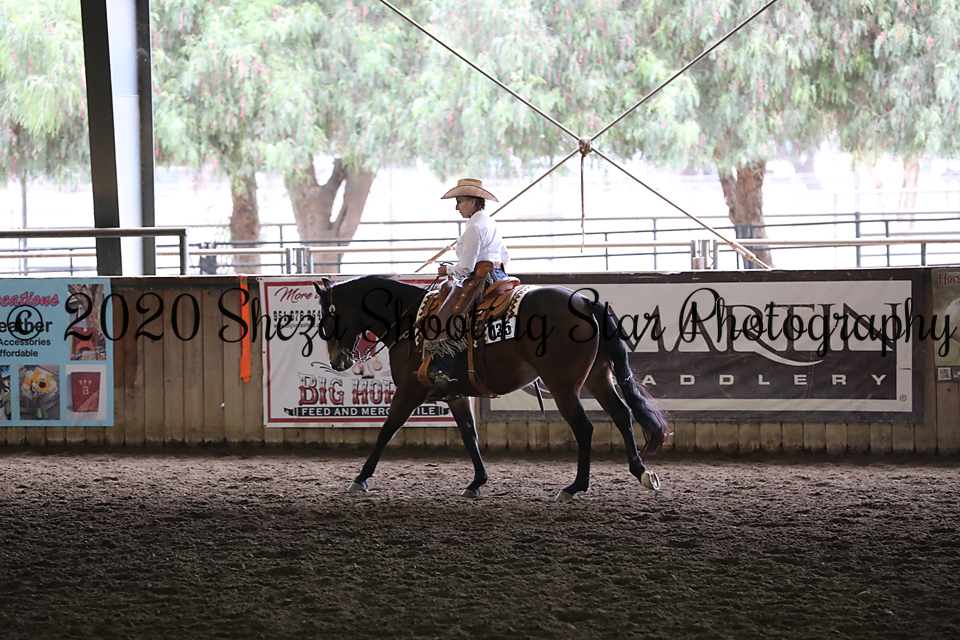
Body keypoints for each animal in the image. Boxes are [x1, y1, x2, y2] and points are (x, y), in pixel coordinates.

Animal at [312, 275, 669, 500]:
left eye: (327, 318)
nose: (338, 362)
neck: (409, 321)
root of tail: (583, 301)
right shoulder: (455, 394)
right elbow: (470, 434)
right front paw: (477, 483)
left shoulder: (409, 392)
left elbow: (387, 430)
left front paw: (360, 478)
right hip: (598, 377)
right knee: (622, 415)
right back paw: (641, 472)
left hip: (564, 385)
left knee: (584, 427)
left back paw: (574, 487)